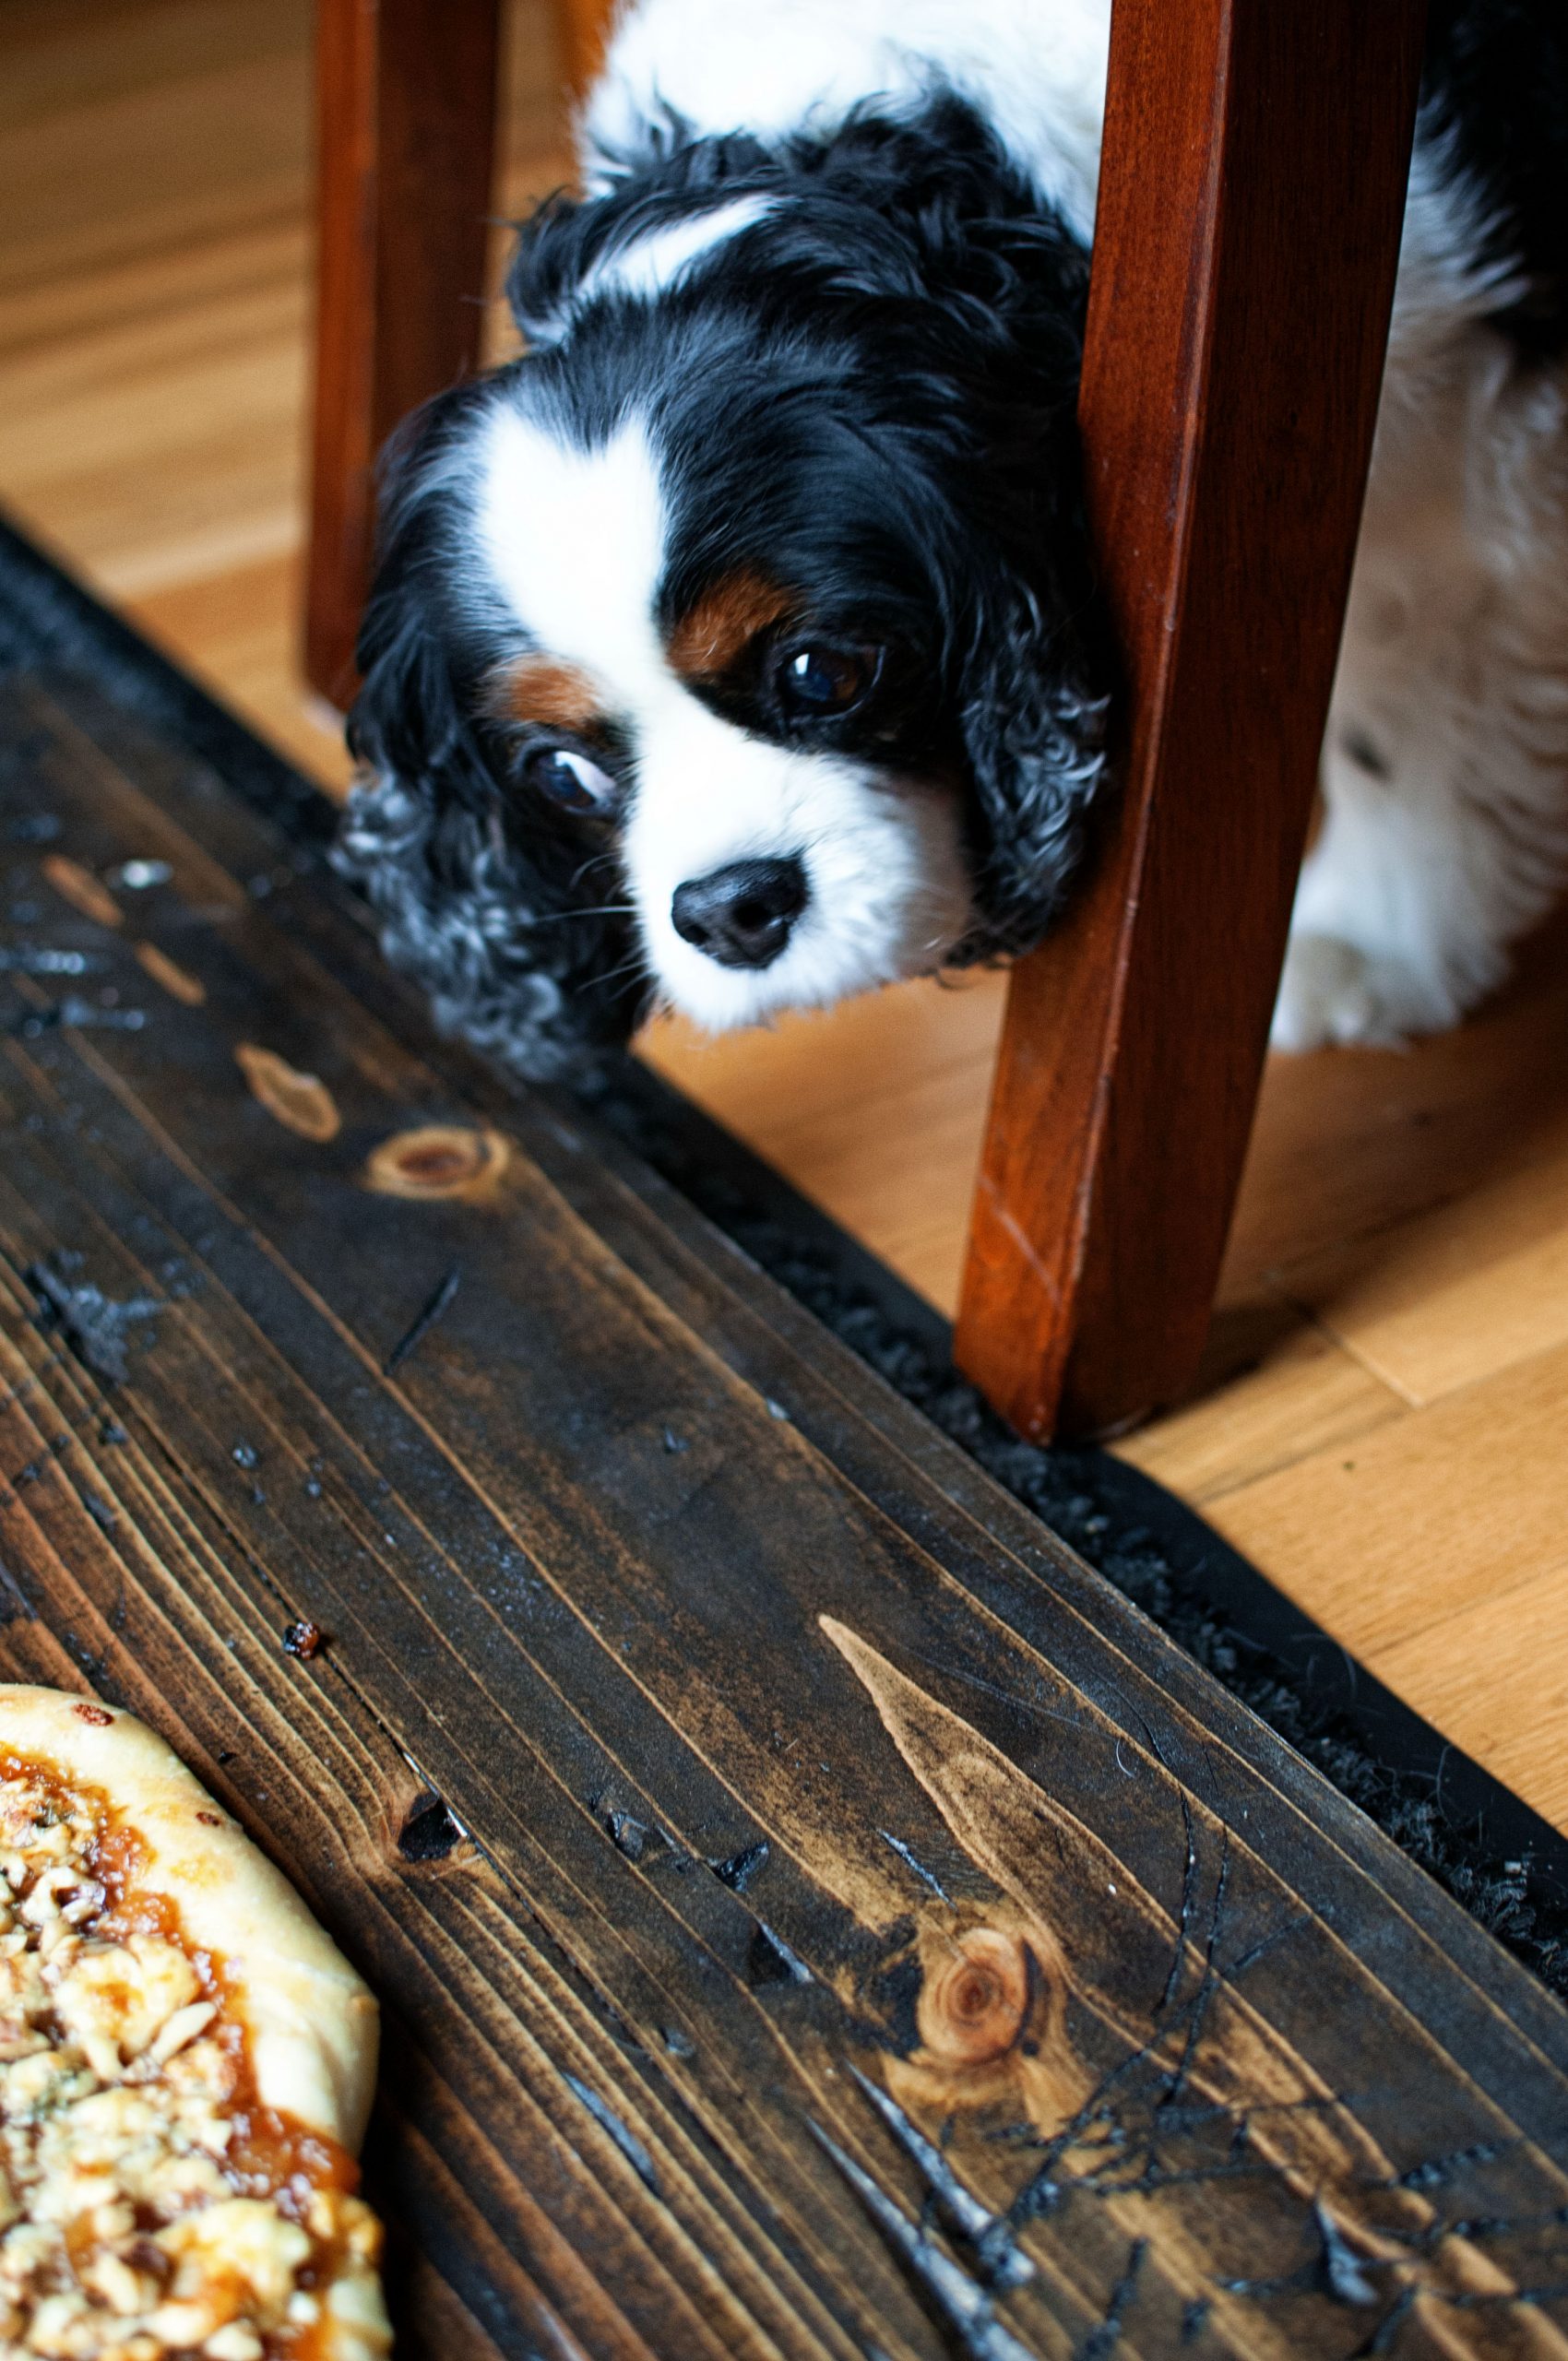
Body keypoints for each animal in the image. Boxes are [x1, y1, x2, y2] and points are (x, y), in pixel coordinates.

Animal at [342, 0, 1568, 1081]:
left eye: (821, 670)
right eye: (559, 775)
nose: (731, 911)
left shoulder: (1478, 453)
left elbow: (1395, 712)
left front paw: (1381, 934)